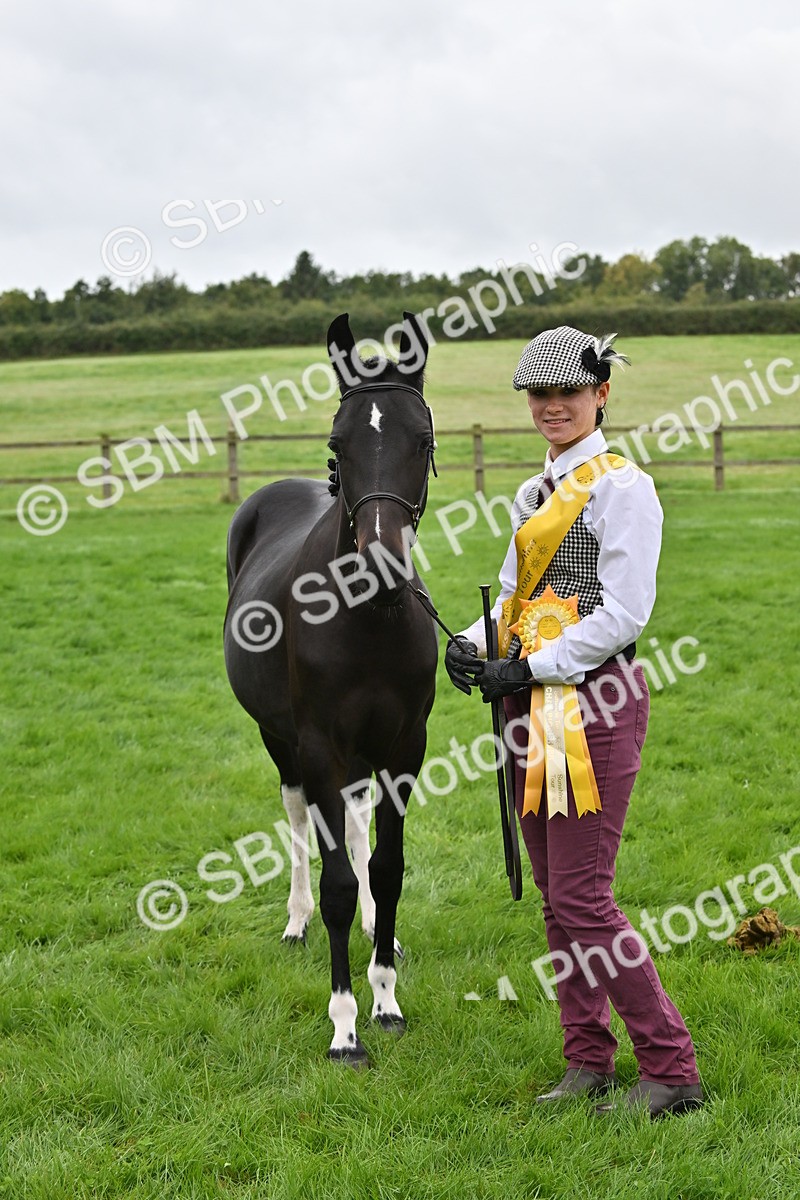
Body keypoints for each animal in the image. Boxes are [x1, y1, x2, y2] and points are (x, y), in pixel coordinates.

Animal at [223, 311, 438, 1064]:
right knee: (298, 819)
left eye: (422, 440)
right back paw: (295, 921)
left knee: (352, 823)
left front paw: (387, 997)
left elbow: (386, 867)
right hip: (282, 741)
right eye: (337, 444)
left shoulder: (404, 749)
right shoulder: (318, 746)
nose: (383, 563)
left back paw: (382, 934)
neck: (365, 617)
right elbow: (339, 880)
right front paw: (345, 1024)